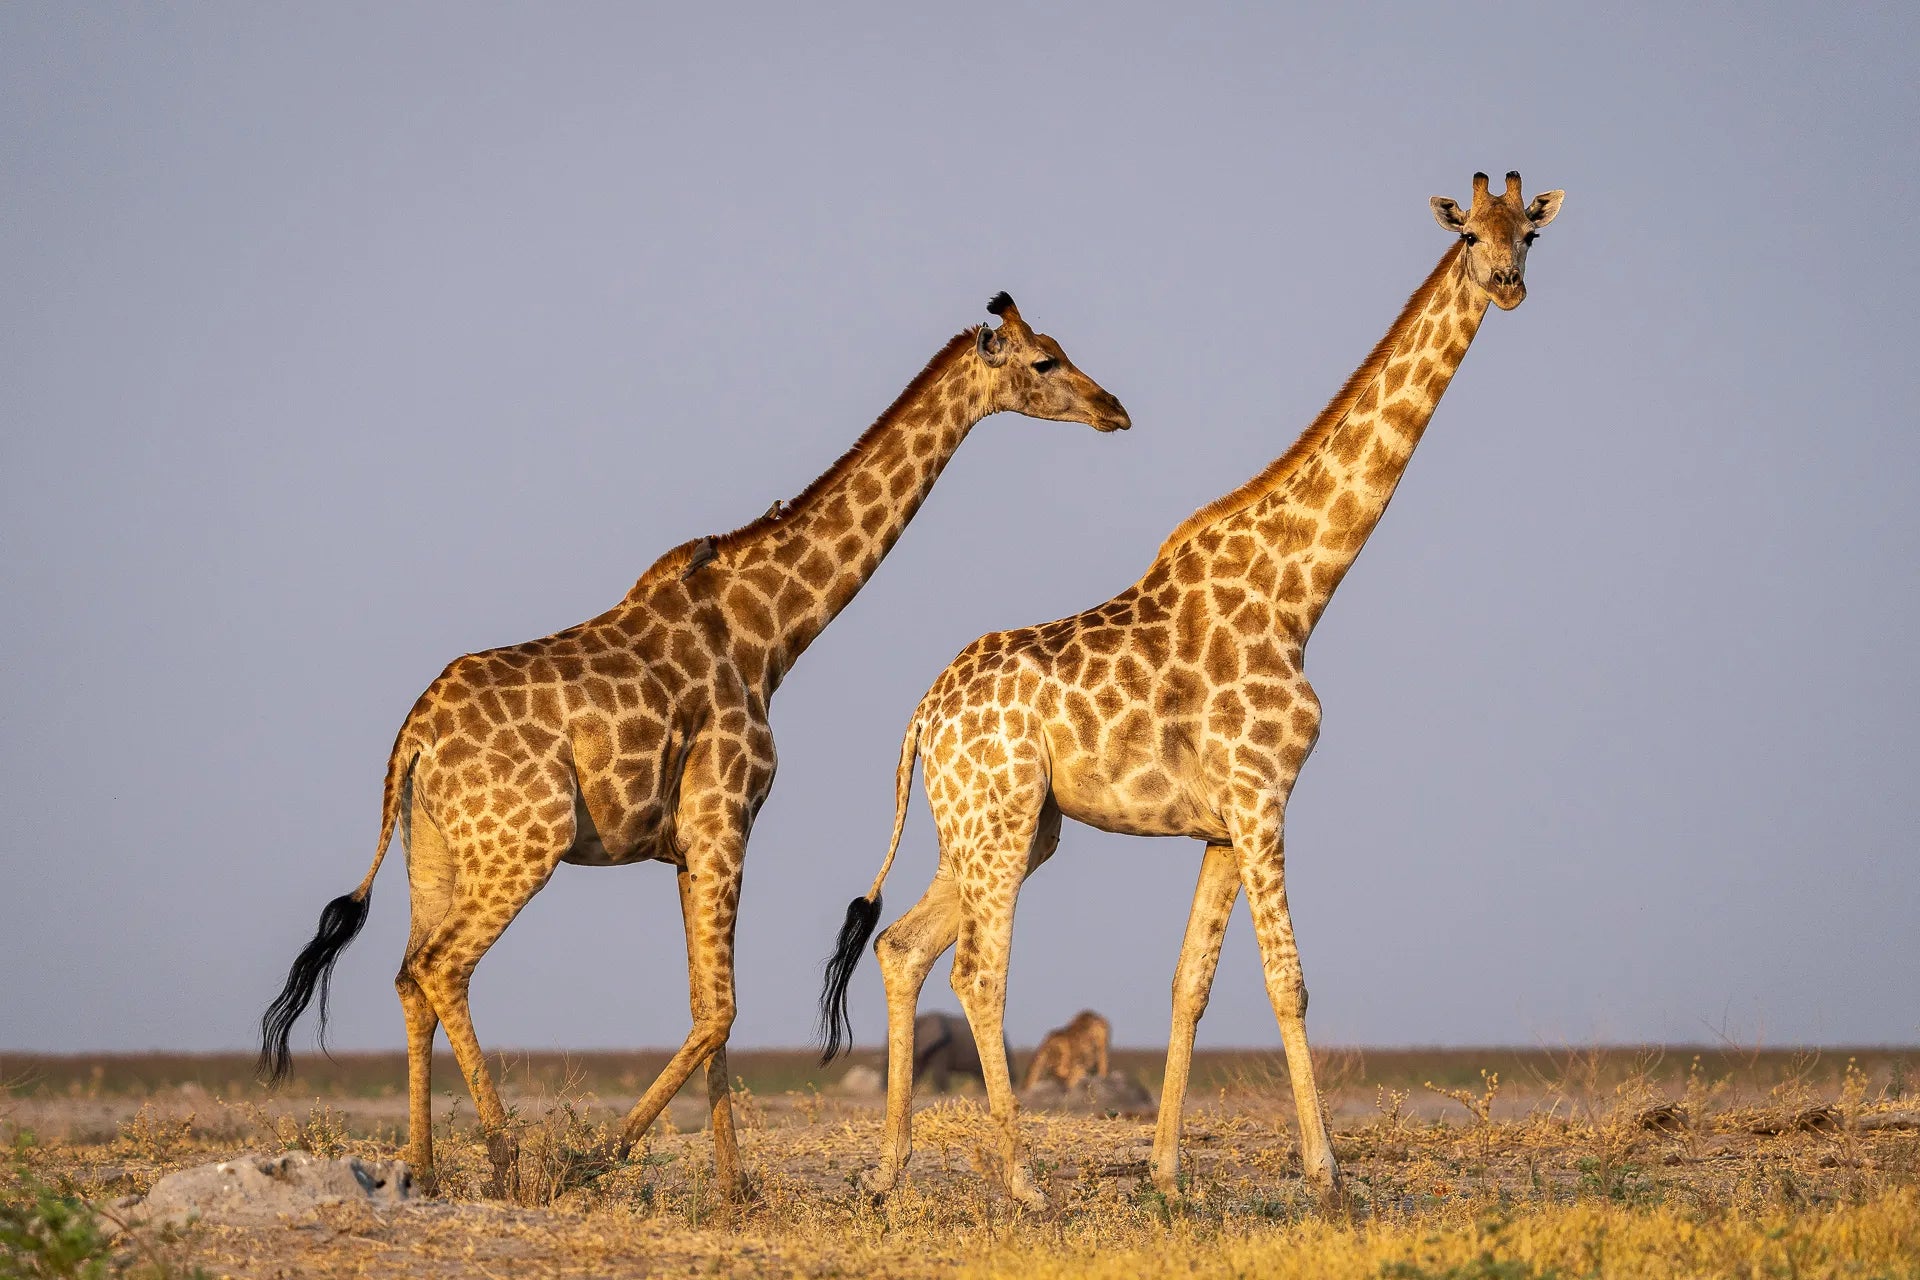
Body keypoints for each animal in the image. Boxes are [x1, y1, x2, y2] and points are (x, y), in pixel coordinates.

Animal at [258, 292, 1131, 1194]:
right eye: (1045, 361)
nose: (1115, 409)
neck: (767, 632)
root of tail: (414, 738)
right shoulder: (724, 818)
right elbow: (722, 1009)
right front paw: (599, 1159)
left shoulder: (688, 842)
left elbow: (706, 1009)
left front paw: (733, 1188)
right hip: (523, 842)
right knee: (442, 966)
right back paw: (506, 1158)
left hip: (431, 847)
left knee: (407, 973)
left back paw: (424, 1170)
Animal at [819, 173, 1564, 1208]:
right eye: (1469, 235)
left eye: (1528, 232)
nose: (1507, 284)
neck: (1300, 593)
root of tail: (923, 716)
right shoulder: (1263, 797)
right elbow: (1289, 981)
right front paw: (1328, 1174)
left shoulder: (1220, 824)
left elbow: (1190, 984)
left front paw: (1166, 1172)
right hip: (1000, 820)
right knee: (978, 969)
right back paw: (1023, 1182)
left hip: (999, 824)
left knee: (902, 946)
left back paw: (890, 1171)